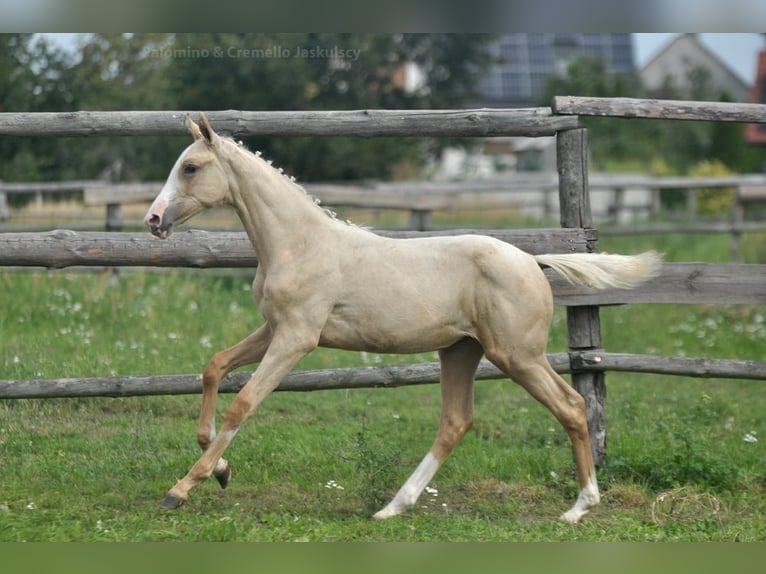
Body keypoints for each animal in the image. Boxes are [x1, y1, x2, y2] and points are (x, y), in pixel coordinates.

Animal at [147, 113, 664, 528]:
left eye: (190, 167)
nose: (153, 220)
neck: (299, 243)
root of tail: (533, 261)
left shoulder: (296, 338)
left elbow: (245, 402)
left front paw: (182, 489)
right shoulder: (274, 329)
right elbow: (215, 366)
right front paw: (221, 470)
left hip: (517, 355)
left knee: (572, 406)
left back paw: (580, 507)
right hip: (461, 350)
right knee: (456, 422)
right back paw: (393, 506)